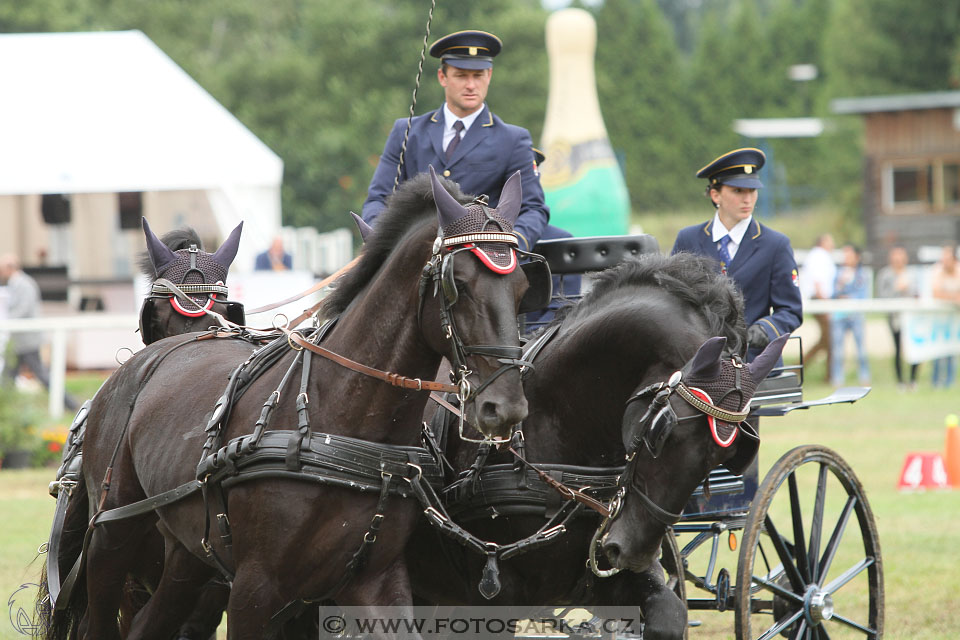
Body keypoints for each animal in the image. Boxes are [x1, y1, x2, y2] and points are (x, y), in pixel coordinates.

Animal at [43, 170, 540, 640]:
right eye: (459, 284)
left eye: (523, 287)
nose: (506, 407)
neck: (344, 421)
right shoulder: (254, 588)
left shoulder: (375, 581)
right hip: (112, 536)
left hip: (188, 555)